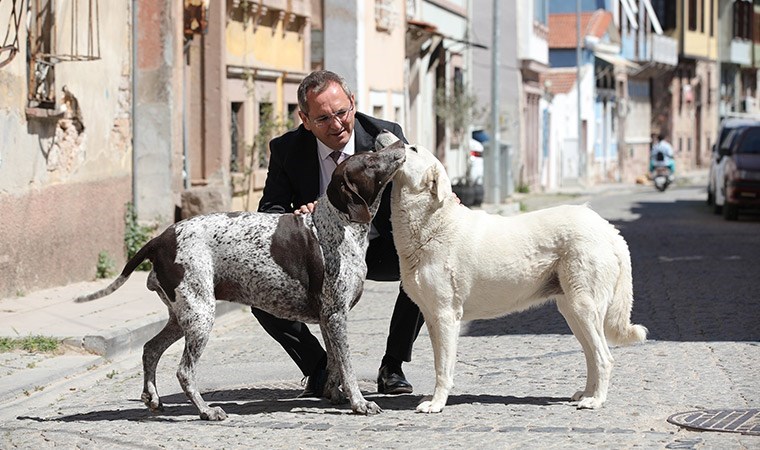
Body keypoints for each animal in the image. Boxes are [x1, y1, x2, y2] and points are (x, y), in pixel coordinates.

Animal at [76, 143, 406, 418]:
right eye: (370, 160)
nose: (401, 143)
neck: (340, 222)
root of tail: (161, 238)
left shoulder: (328, 318)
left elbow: (336, 363)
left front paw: (334, 395)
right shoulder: (336, 315)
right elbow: (347, 365)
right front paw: (359, 403)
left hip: (182, 316)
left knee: (150, 349)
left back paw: (152, 398)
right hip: (200, 316)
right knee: (184, 371)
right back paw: (206, 411)